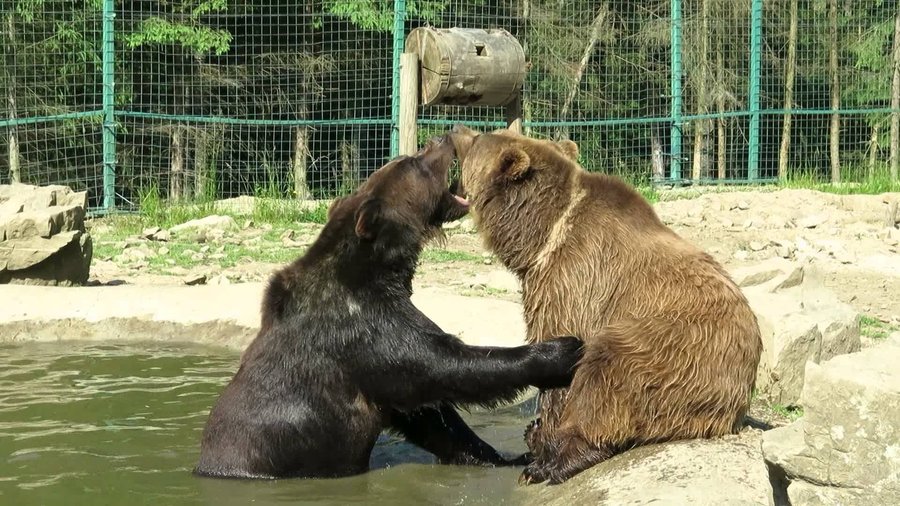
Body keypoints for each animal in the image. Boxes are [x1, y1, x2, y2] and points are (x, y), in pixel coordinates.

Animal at [193, 133, 584, 478]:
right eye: (413, 162)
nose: (440, 138)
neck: (379, 266)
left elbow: (430, 418)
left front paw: (504, 456)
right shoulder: (363, 330)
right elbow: (442, 364)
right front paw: (562, 350)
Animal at [446, 123, 764, 486]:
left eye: (477, 139)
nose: (455, 128)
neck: (540, 234)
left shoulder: (572, 279)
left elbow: (560, 358)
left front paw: (540, 453)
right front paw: (534, 434)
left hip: (678, 346)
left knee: (609, 372)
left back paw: (561, 460)